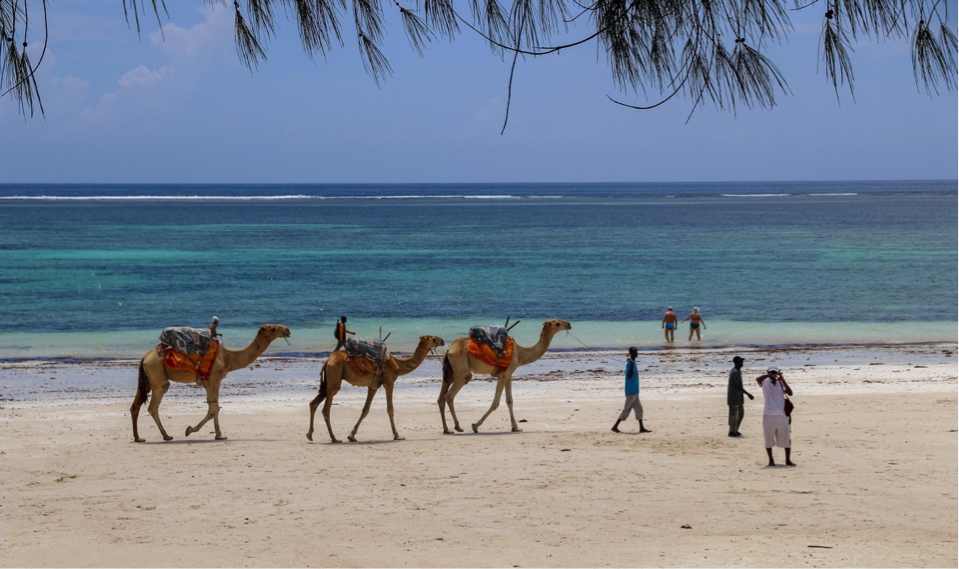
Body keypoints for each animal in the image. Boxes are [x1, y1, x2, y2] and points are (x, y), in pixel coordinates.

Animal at [129, 322, 290, 442]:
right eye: (272, 328)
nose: (287, 329)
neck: (228, 358)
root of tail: (144, 357)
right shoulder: (211, 382)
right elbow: (213, 409)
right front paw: (190, 430)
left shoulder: (216, 382)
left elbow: (216, 407)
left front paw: (219, 435)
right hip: (157, 375)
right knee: (153, 406)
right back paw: (166, 436)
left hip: (147, 378)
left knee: (135, 405)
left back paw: (138, 438)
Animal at [306, 332, 444, 444]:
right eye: (432, 338)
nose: (442, 340)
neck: (398, 365)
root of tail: (327, 361)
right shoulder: (389, 382)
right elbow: (390, 409)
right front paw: (397, 435)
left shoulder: (373, 386)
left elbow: (365, 410)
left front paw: (352, 436)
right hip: (334, 378)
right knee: (326, 409)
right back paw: (334, 438)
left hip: (328, 382)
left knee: (313, 403)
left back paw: (310, 435)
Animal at [440, 318, 572, 432]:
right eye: (557, 323)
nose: (569, 324)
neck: (520, 353)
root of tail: (449, 349)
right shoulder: (503, 374)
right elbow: (496, 402)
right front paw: (475, 425)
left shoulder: (509, 374)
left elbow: (509, 401)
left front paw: (516, 427)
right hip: (461, 368)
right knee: (450, 395)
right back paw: (458, 427)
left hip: (449, 372)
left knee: (441, 397)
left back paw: (447, 429)